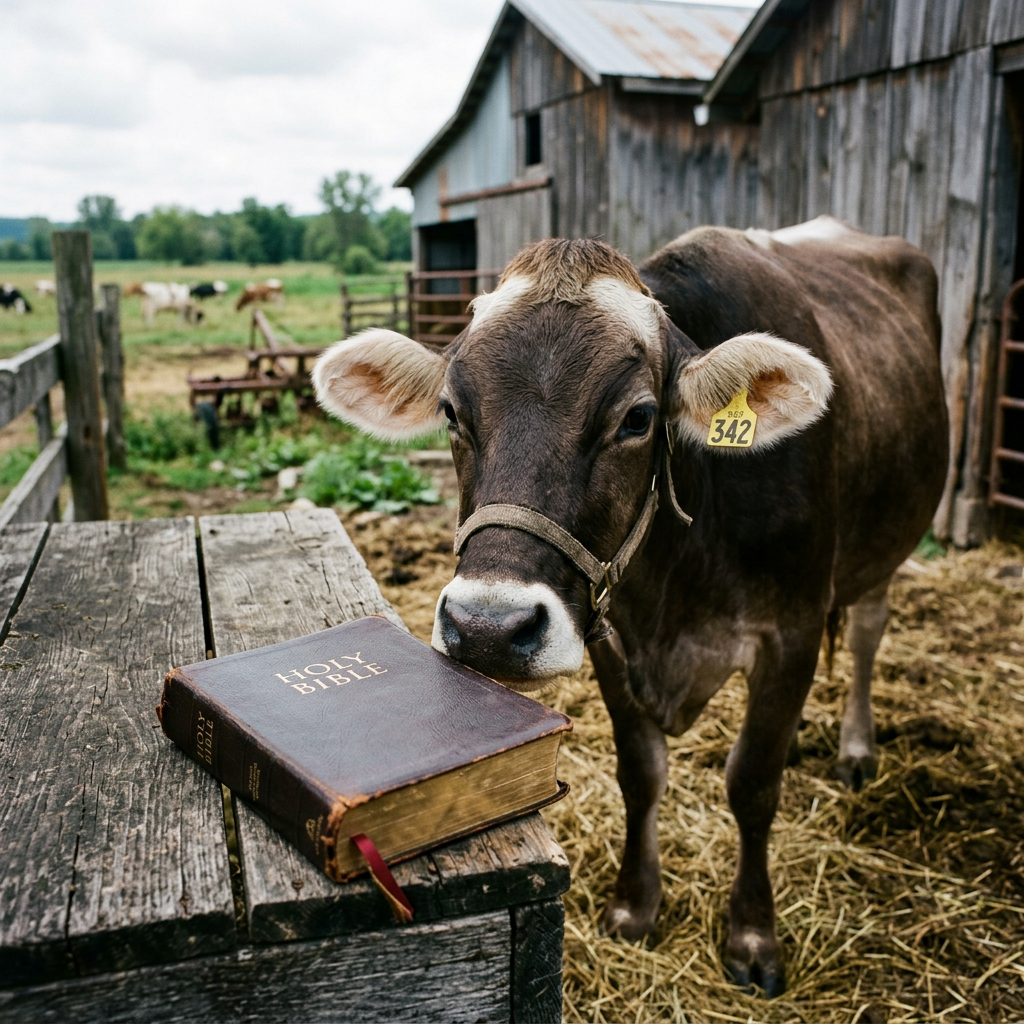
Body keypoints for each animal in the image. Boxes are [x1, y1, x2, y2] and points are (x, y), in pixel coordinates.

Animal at [311, 217, 948, 996]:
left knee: (865, 632)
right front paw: (634, 907)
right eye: (452, 412)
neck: (678, 576)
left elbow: (753, 784)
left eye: (639, 418)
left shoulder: (791, 632)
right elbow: (640, 774)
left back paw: (857, 747)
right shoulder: (609, 634)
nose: (488, 629)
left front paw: (752, 937)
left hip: (886, 545)